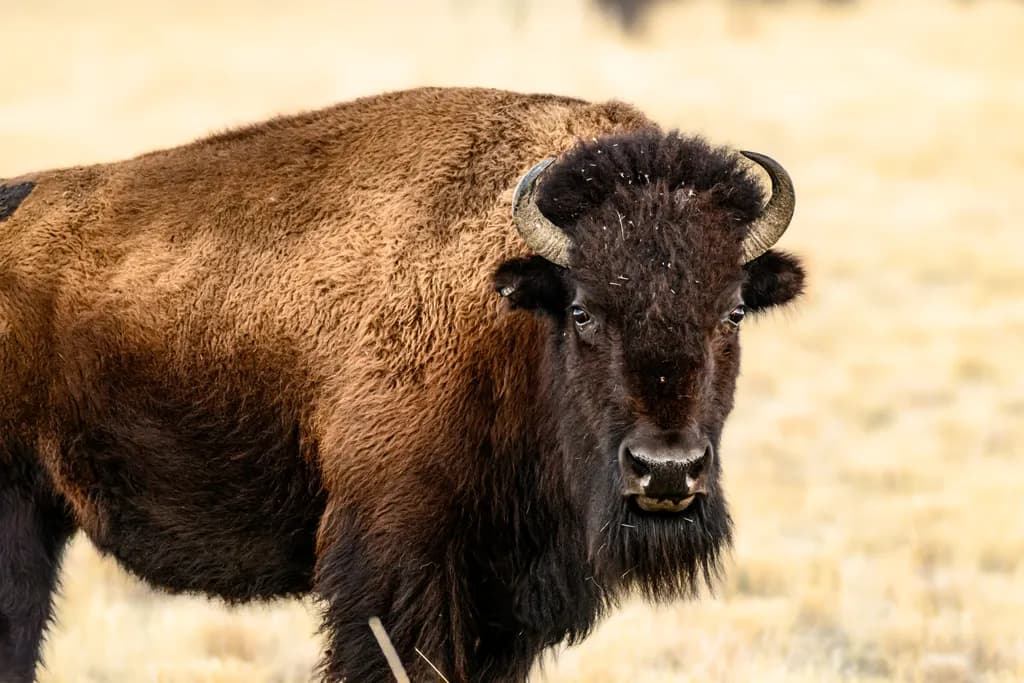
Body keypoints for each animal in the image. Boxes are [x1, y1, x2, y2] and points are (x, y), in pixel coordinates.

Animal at [0, 87, 805, 682]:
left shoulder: (509, 598)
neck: (509, 315)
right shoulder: (396, 563)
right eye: (582, 310)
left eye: (733, 309)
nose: (666, 471)